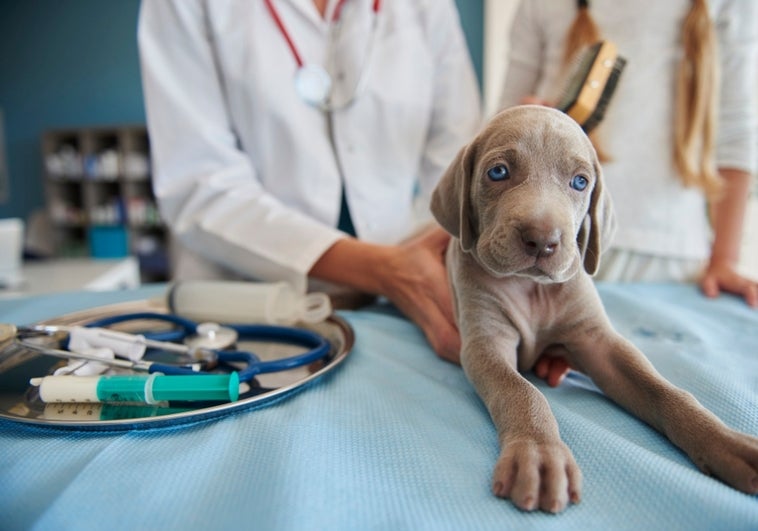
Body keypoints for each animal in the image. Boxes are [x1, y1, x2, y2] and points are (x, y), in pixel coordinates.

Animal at [434, 105, 758, 516]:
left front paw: (723, 440)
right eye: (498, 172)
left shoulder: (598, 342)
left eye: (580, 182)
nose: (542, 240)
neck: (532, 289)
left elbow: (664, 390)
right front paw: (540, 454)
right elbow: (520, 390)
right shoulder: (485, 343)